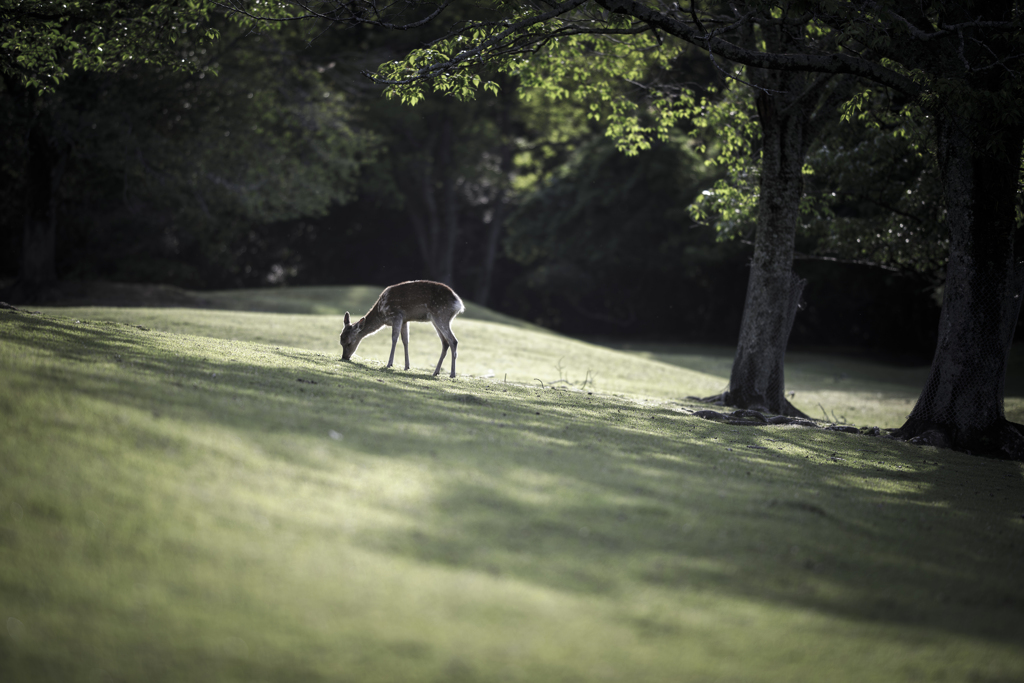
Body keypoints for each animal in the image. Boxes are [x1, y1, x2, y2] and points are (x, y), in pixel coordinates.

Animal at [337, 282, 466, 378]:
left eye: (349, 343)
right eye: (340, 342)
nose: (344, 357)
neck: (381, 314)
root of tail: (459, 304)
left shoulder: (397, 315)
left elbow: (394, 338)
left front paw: (389, 363)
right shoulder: (405, 320)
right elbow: (405, 341)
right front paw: (407, 366)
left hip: (441, 315)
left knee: (453, 340)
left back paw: (452, 374)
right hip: (436, 319)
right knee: (445, 342)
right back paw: (436, 372)